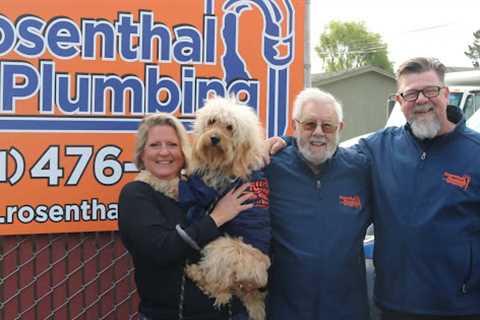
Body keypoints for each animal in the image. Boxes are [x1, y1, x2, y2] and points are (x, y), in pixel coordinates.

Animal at [181, 97, 270, 320]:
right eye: (212, 121)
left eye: (230, 127)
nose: (214, 138)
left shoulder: (205, 193)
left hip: (223, 247)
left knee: (219, 290)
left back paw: (194, 272)